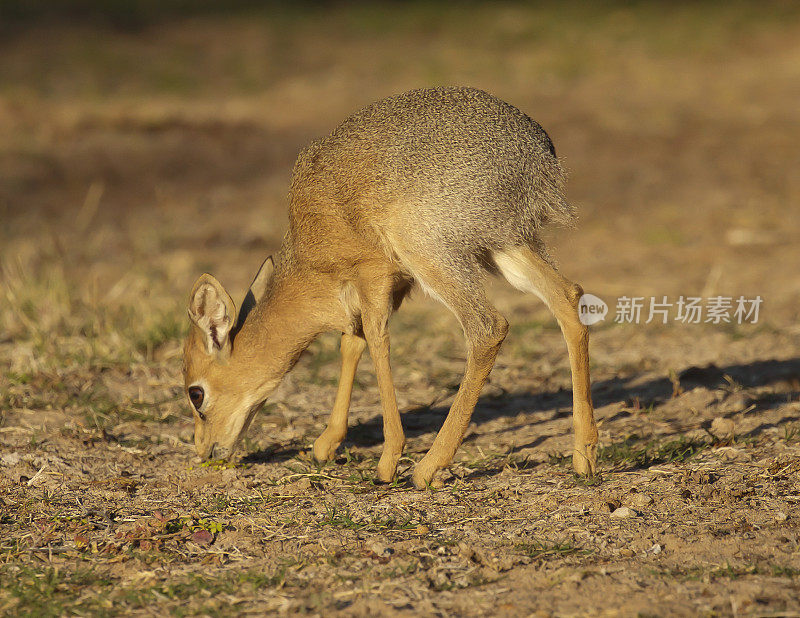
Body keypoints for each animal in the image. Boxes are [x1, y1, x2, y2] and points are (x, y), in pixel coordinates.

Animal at [184, 85, 596, 486]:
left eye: (196, 393)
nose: (204, 449)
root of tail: (539, 158)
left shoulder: (376, 274)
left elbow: (375, 341)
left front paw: (387, 461)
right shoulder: (386, 286)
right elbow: (352, 343)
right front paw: (325, 444)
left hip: (433, 253)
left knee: (488, 327)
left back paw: (428, 468)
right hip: (505, 248)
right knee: (568, 297)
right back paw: (585, 456)